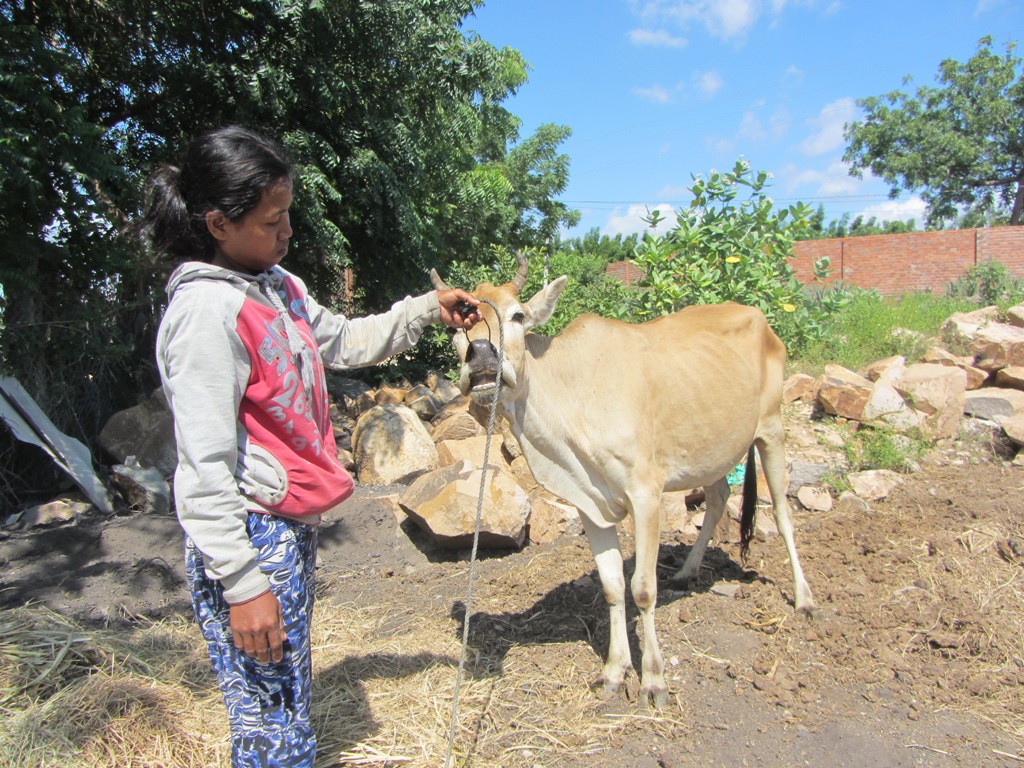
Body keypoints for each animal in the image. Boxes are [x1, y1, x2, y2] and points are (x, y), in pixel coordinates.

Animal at [432, 253, 815, 708]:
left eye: (517, 315)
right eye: (455, 328)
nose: (481, 355)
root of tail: (759, 317)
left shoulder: (645, 494)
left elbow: (642, 589)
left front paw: (654, 680)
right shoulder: (590, 506)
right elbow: (613, 586)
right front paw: (615, 670)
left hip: (771, 430)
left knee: (785, 515)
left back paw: (804, 598)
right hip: (713, 449)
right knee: (719, 497)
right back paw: (688, 571)